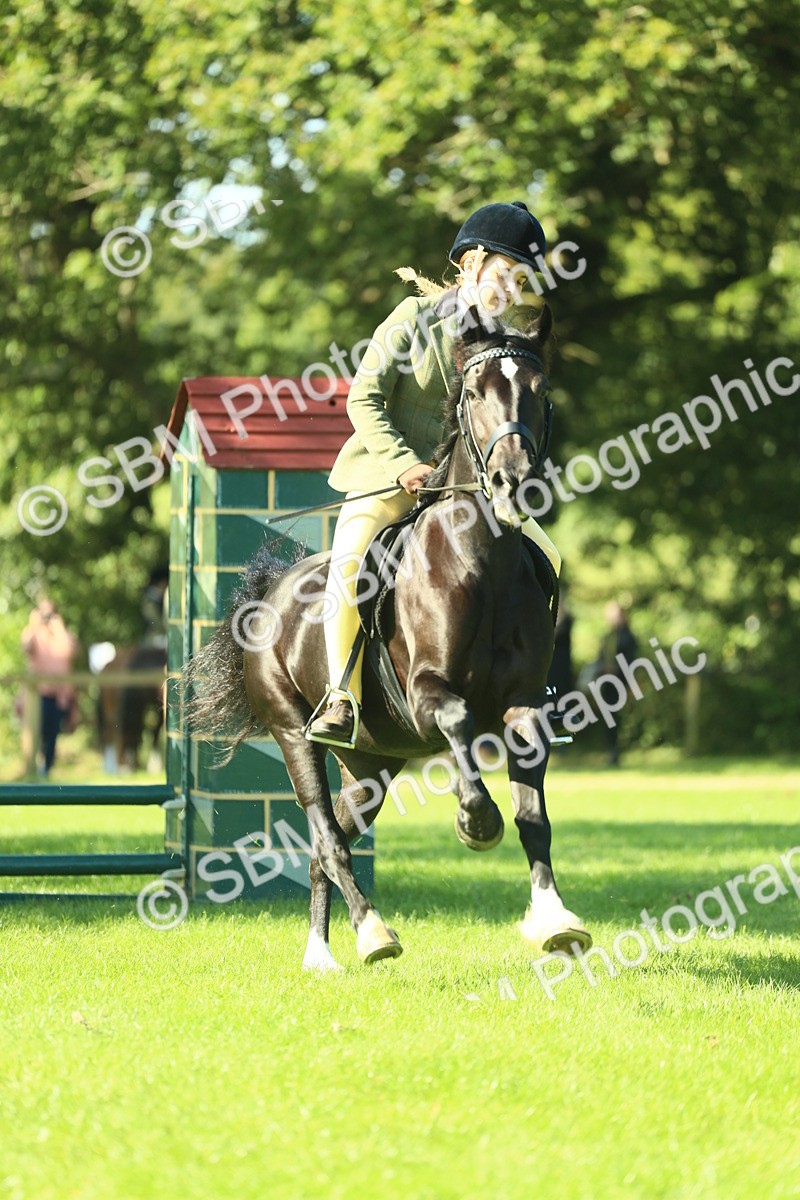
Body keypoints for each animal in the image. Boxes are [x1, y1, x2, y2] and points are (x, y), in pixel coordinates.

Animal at [187, 302, 592, 969]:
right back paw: (374, 934)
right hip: (292, 734)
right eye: (474, 394)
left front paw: (555, 920)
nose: (514, 483)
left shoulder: (524, 705)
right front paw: (475, 823)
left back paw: (324, 953)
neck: (482, 562)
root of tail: (266, 596)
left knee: (326, 846)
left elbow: (534, 815)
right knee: (327, 837)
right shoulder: (427, 693)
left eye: (540, 390)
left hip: (372, 767)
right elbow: (458, 722)